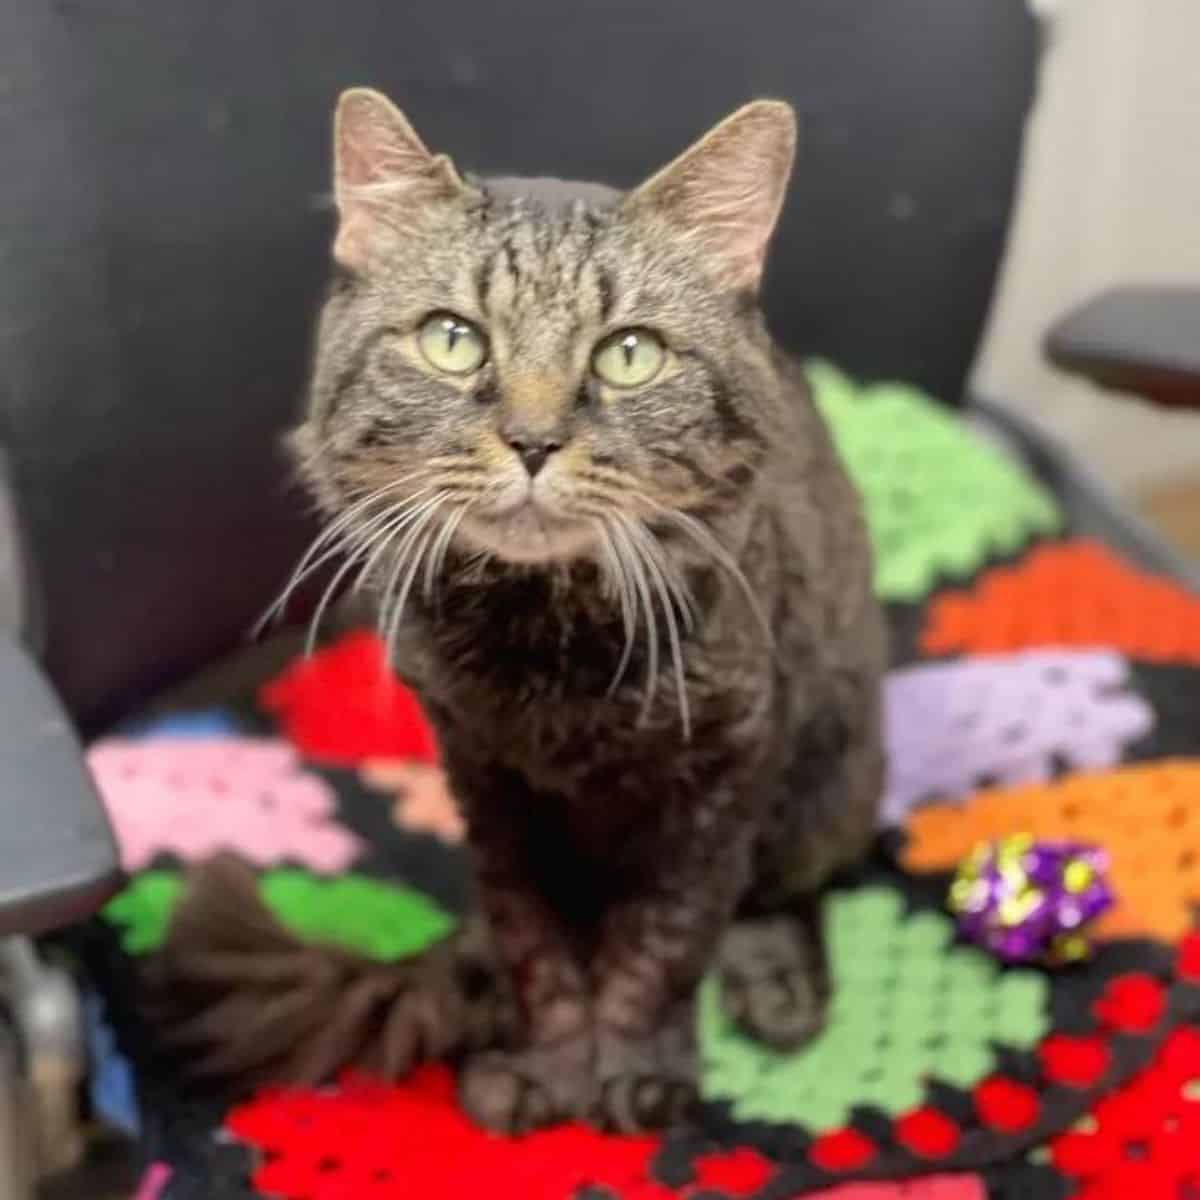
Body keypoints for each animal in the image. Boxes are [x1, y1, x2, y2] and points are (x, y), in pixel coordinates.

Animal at [147, 88, 883, 1128]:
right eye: (453, 339)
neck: (548, 644)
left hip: (836, 766)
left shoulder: (723, 770)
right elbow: (537, 947)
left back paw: (775, 980)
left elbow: (668, 938)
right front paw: (547, 1065)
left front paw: (637, 1067)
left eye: (628, 355)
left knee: (786, 887)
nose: (533, 441)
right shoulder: (489, 783)